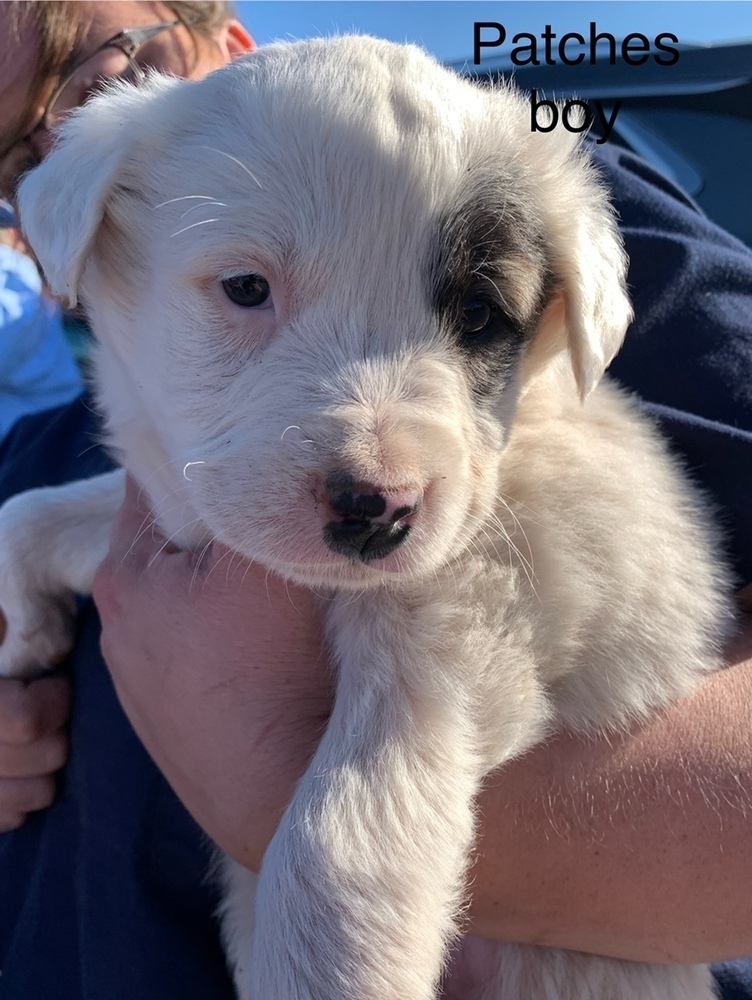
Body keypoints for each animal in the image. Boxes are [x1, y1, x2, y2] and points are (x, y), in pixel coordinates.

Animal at [0, 35, 728, 996]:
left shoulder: (477, 612)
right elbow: (32, 512)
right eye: (245, 287)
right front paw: (26, 632)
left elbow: (337, 846)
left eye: (478, 314)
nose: (377, 510)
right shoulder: (187, 508)